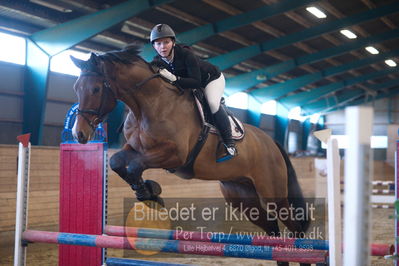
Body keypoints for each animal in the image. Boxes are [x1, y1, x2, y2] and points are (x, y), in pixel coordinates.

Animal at [71, 44, 312, 264]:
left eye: (95, 89)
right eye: (76, 88)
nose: (79, 134)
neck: (149, 103)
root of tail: (271, 142)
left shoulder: (174, 155)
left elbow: (135, 165)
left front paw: (150, 192)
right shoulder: (136, 149)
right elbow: (117, 162)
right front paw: (148, 191)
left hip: (272, 194)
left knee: (294, 227)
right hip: (242, 196)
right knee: (273, 231)